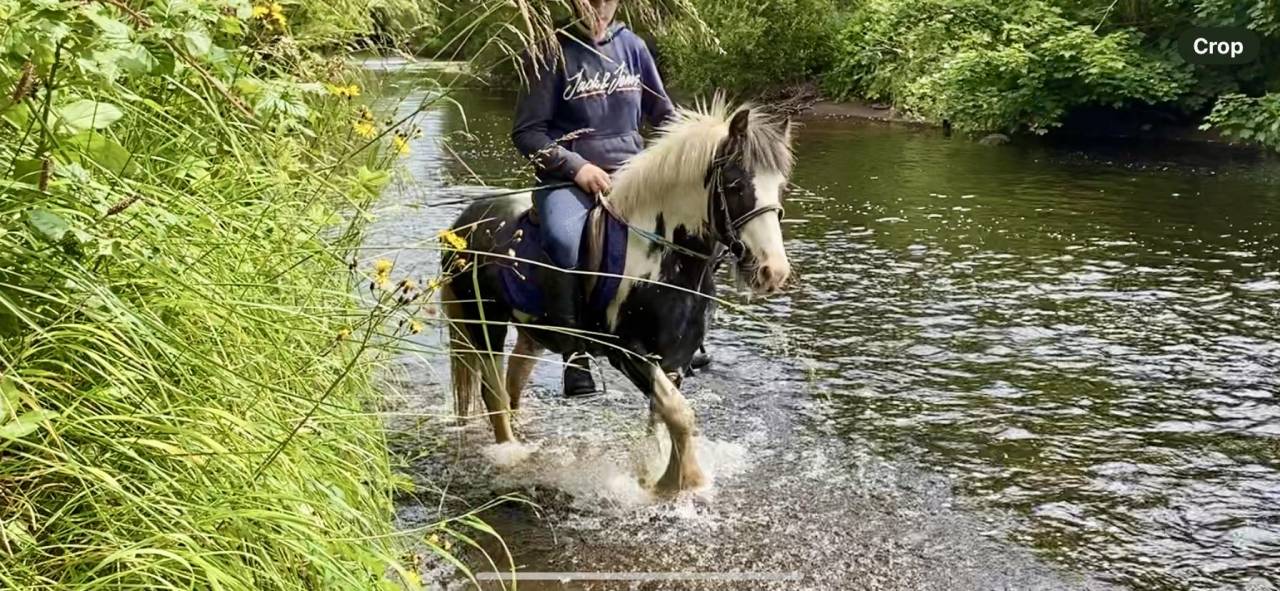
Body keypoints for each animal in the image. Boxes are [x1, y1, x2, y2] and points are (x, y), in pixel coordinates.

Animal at [440, 98, 794, 494]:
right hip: (483, 322)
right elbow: (680, 415)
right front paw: (679, 482)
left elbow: (661, 419)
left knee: (513, 383)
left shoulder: (674, 359)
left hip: (532, 332)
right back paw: (511, 453)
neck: (661, 258)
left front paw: (654, 475)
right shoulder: (627, 353)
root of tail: (462, 223)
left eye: (781, 186)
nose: (772, 271)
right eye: (735, 185)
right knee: (494, 393)